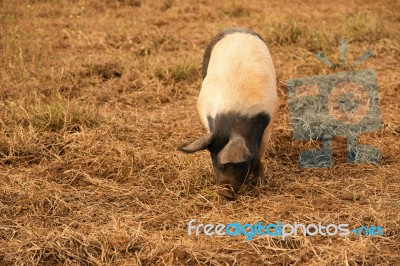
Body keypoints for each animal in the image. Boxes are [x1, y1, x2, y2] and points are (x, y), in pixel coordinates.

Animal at [179, 28, 278, 198]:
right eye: (213, 160)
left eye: (236, 165)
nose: (224, 193)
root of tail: (237, 28)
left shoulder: (269, 121)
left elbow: (260, 154)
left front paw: (260, 185)